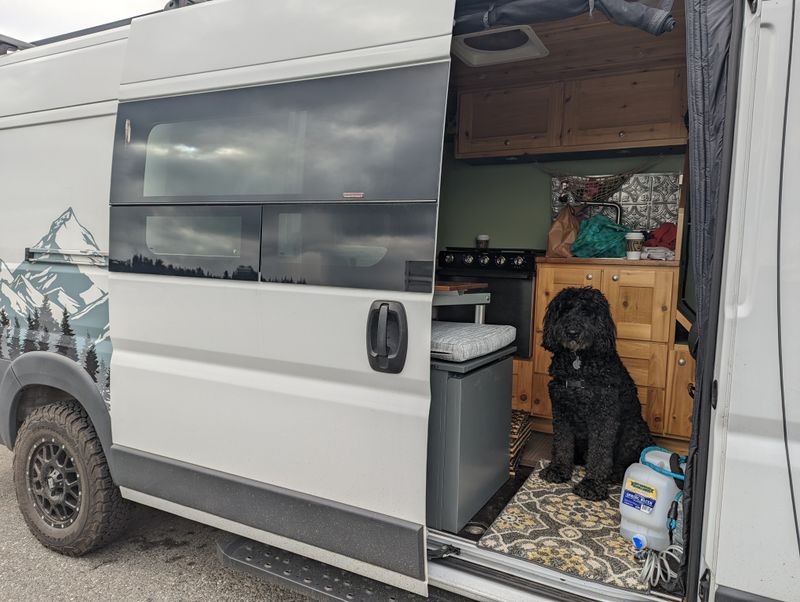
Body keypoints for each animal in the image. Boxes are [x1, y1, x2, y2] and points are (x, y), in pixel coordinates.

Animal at [536, 284, 656, 496]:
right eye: (565, 310)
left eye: (587, 311)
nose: (572, 331)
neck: (578, 364)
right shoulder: (561, 411)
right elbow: (562, 443)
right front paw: (557, 470)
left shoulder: (603, 415)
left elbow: (600, 452)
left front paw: (592, 485)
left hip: (635, 430)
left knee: (625, 462)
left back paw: (615, 474)